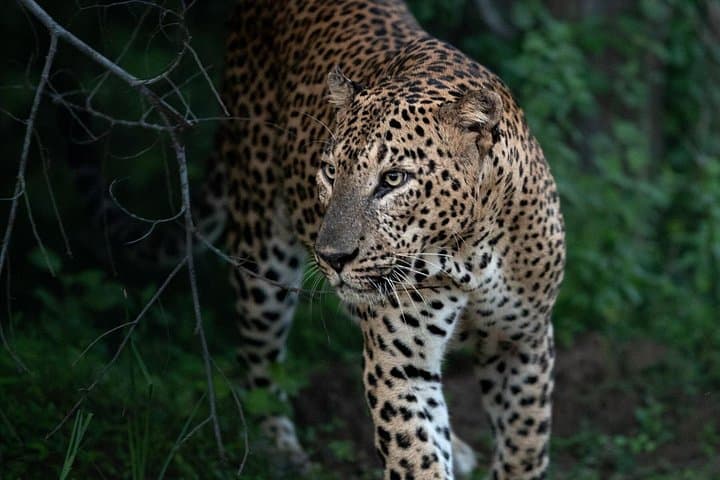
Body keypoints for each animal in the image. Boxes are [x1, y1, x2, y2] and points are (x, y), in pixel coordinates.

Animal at [205, 1, 566, 479]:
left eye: (393, 179)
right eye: (330, 171)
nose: (332, 257)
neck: (471, 252)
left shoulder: (524, 342)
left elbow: (525, 448)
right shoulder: (401, 365)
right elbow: (418, 457)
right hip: (260, 245)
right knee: (260, 358)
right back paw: (280, 446)